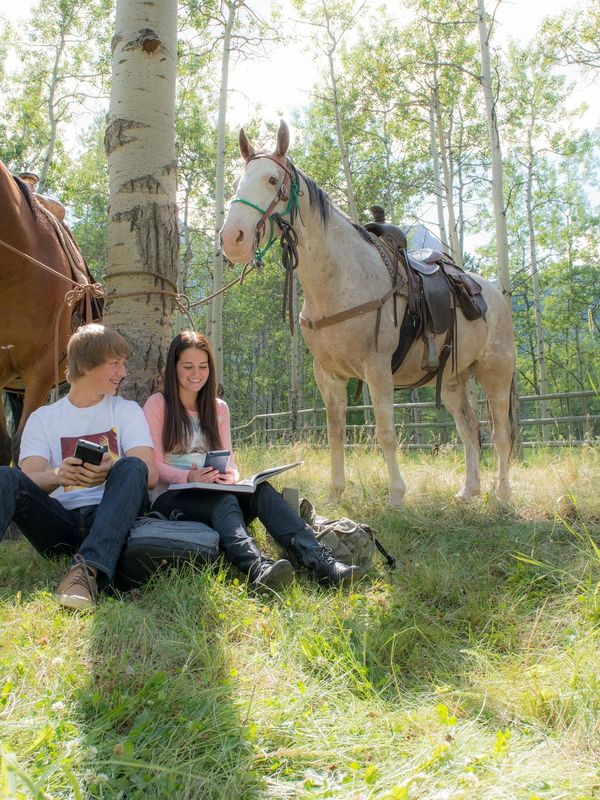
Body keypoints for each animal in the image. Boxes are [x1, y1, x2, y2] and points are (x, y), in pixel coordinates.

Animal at [220, 121, 516, 507]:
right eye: (237, 182)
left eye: (272, 180)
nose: (232, 239)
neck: (341, 280)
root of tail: (493, 294)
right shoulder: (328, 376)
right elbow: (336, 434)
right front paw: (335, 494)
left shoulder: (377, 370)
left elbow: (386, 432)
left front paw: (396, 495)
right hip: (454, 379)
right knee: (469, 429)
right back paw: (469, 491)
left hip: (496, 372)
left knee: (502, 435)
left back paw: (502, 496)